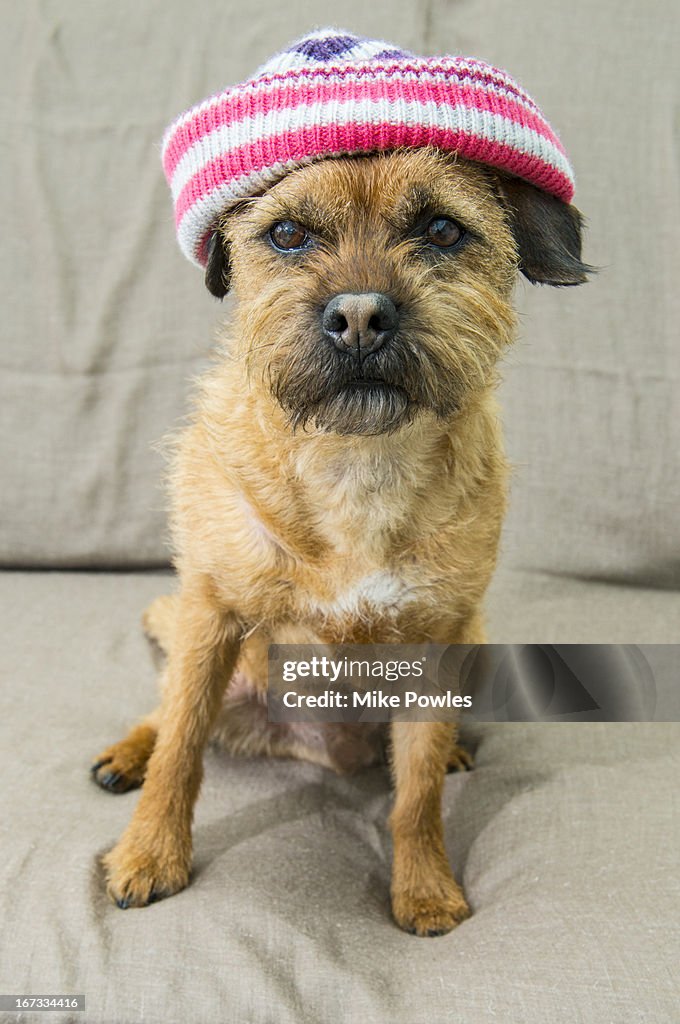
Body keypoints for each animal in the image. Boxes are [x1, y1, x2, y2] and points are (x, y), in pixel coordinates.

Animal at [91, 144, 589, 937]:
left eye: (442, 231)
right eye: (288, 234)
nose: (359, 314)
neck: (357, 463)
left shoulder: (438, 642)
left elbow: (416, 794)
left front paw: (424, 887)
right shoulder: (210, 611)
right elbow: (181, 752)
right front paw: (149, 853)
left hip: (478, 650)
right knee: (168, 713)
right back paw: (127, 752)